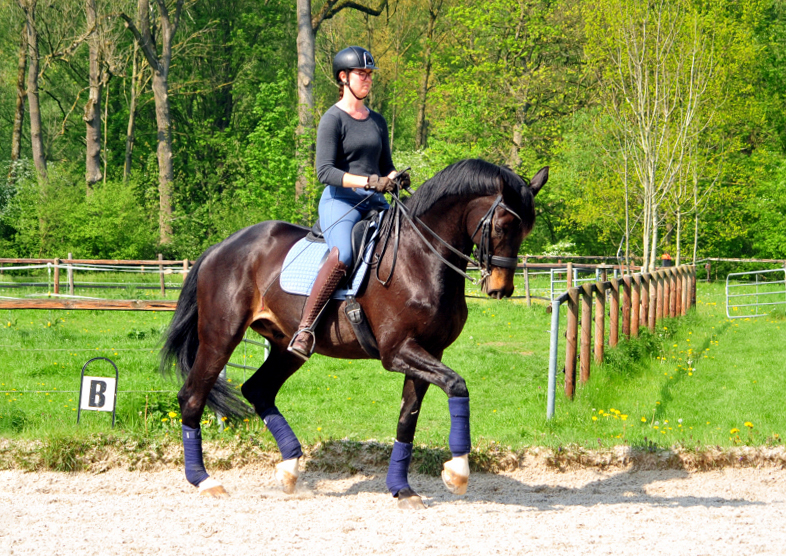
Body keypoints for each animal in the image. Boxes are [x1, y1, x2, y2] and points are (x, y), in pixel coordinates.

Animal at [161, 156, 544, 508]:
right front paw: (457, 472)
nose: (501, 289)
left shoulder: (429, 352)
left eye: (527, 229)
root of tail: (220, 247)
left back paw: (289, 469)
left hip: (286, 346)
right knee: (192, 397)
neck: (420, 257)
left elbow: (408, 418)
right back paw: (205, 481)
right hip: (220, 338)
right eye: (504, 226)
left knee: (258, 390)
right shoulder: (398, 352)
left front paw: (402, 488)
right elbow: (457, 384)